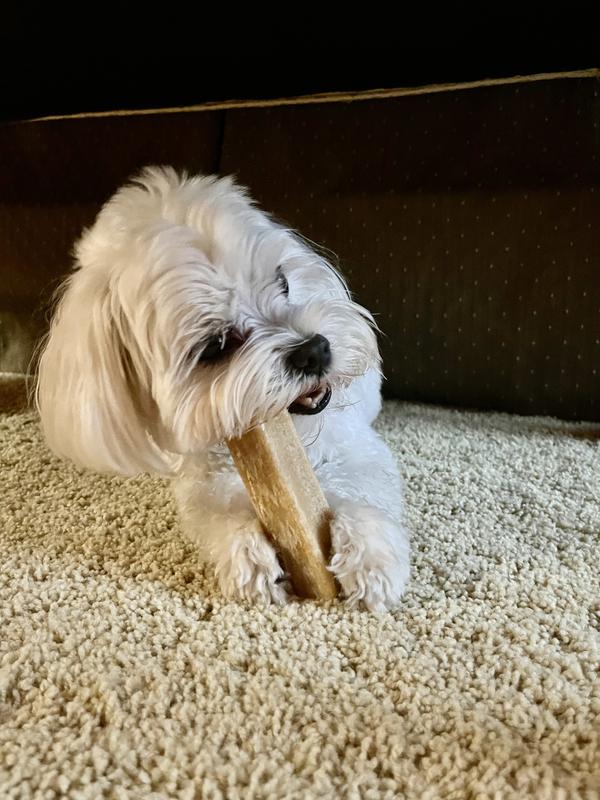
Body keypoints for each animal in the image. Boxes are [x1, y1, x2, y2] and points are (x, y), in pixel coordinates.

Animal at [36, 167, 409, 611]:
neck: (298, 433)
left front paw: (369, 559)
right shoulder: (203, 478)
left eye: (282, 281)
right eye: (215, 346)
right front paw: (250, 557)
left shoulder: (356, 448)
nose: (314, 350)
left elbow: (364, 489)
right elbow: (216, 512)